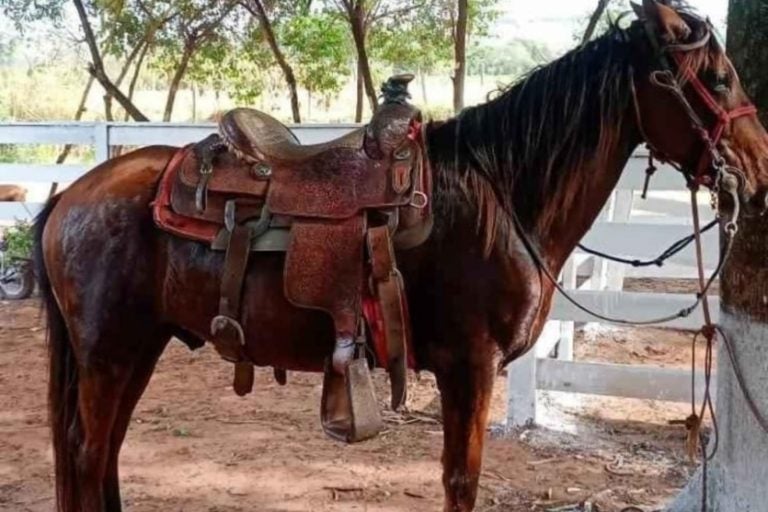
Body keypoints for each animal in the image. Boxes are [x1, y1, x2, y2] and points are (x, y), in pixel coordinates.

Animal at [34, 2, 768, 511]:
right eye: (720, 79)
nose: (760, 167)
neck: (502, 197)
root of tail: (73, 193)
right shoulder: (470, 368)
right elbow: (460, 481)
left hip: (141, 346)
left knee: (103, 453)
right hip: (109, 351)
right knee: (88, 451)